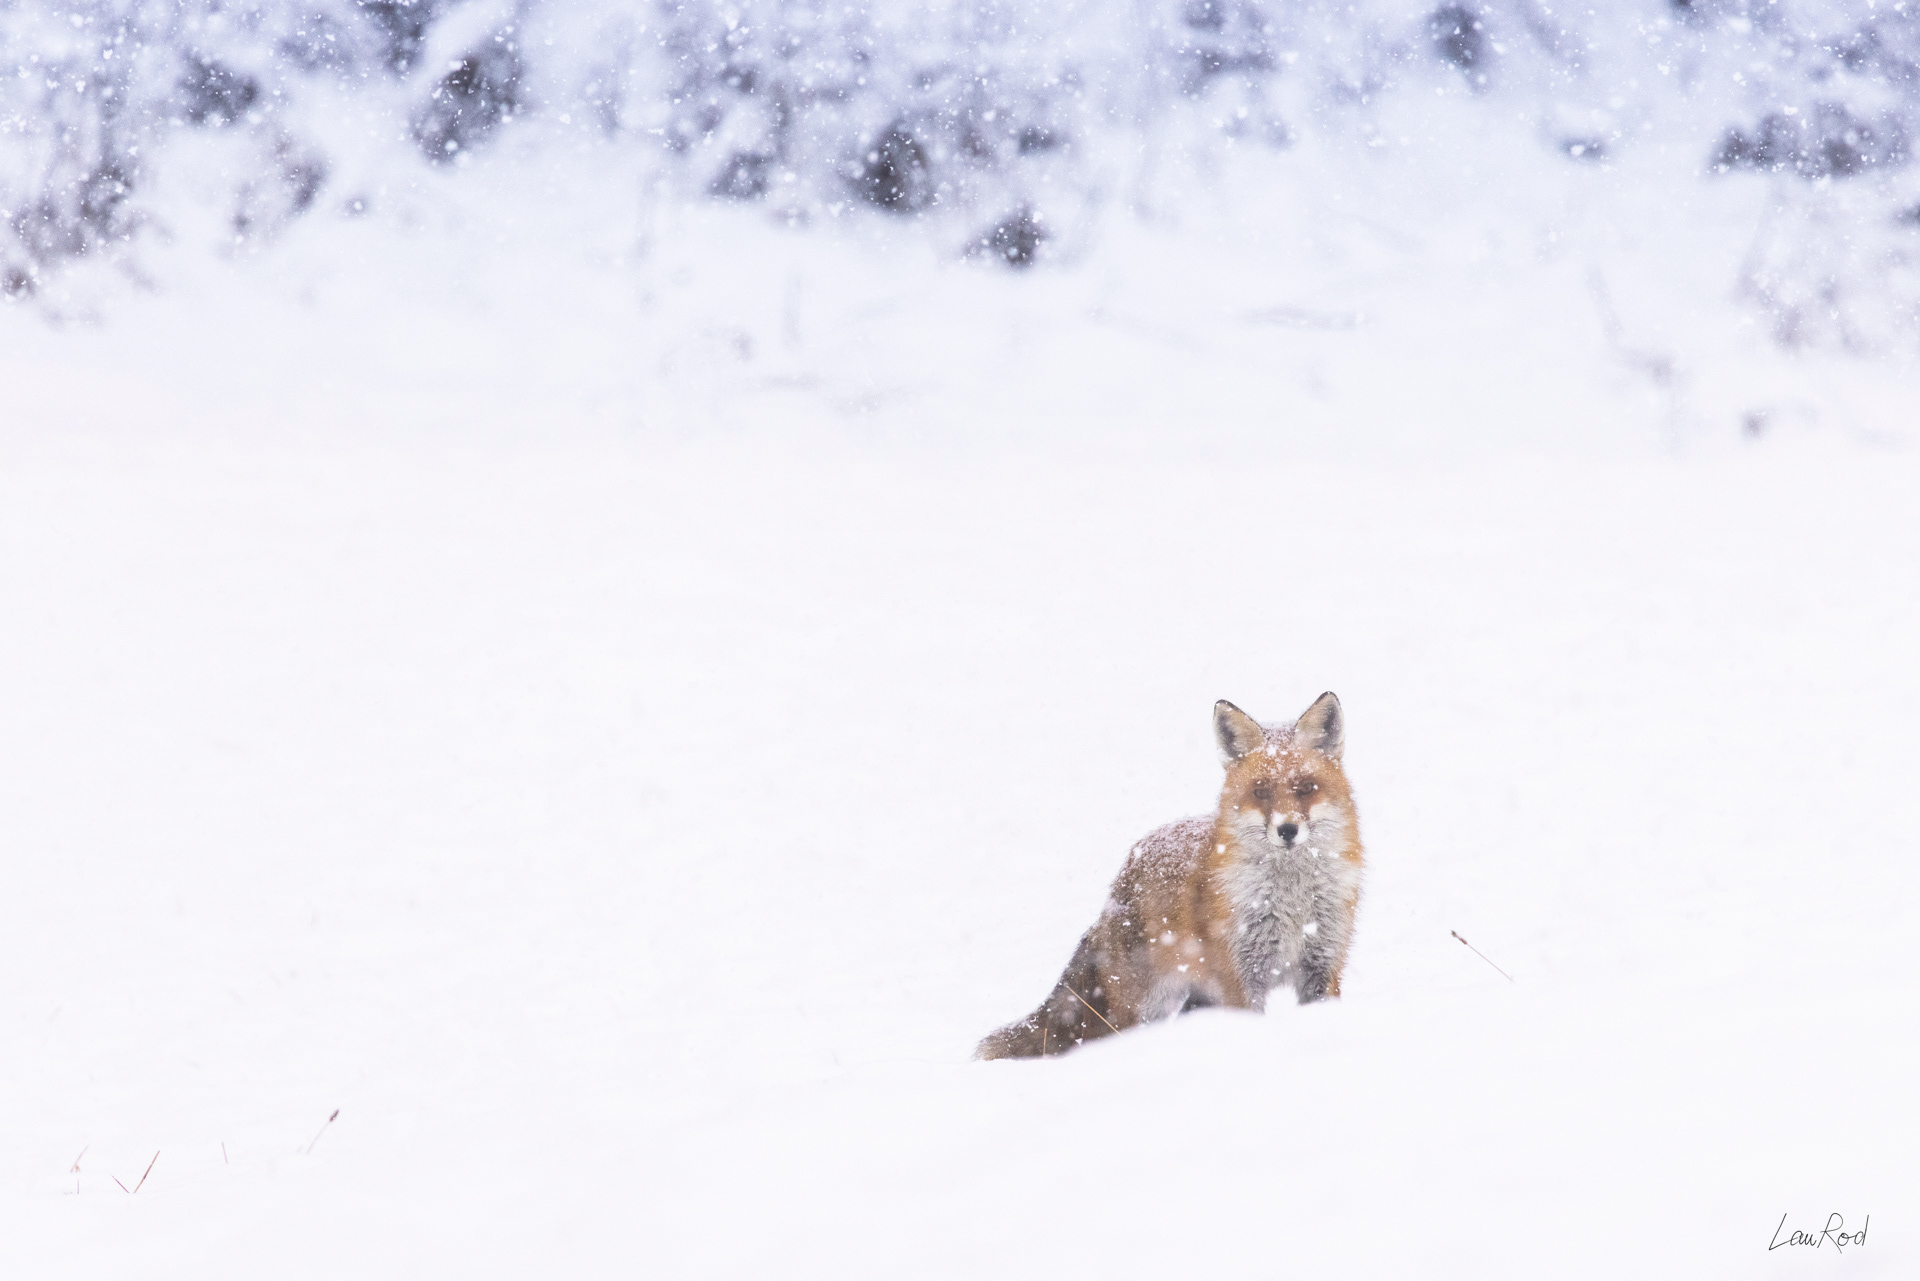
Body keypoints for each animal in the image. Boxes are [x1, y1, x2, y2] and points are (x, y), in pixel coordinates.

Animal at [976, 693, 1363, 1059]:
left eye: (1306, 787)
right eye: (1261, 791)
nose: (1287, 830)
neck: (1292, 903)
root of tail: (1123, 874)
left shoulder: (1323, 966)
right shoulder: (1240, 977)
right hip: (1145, 1007)